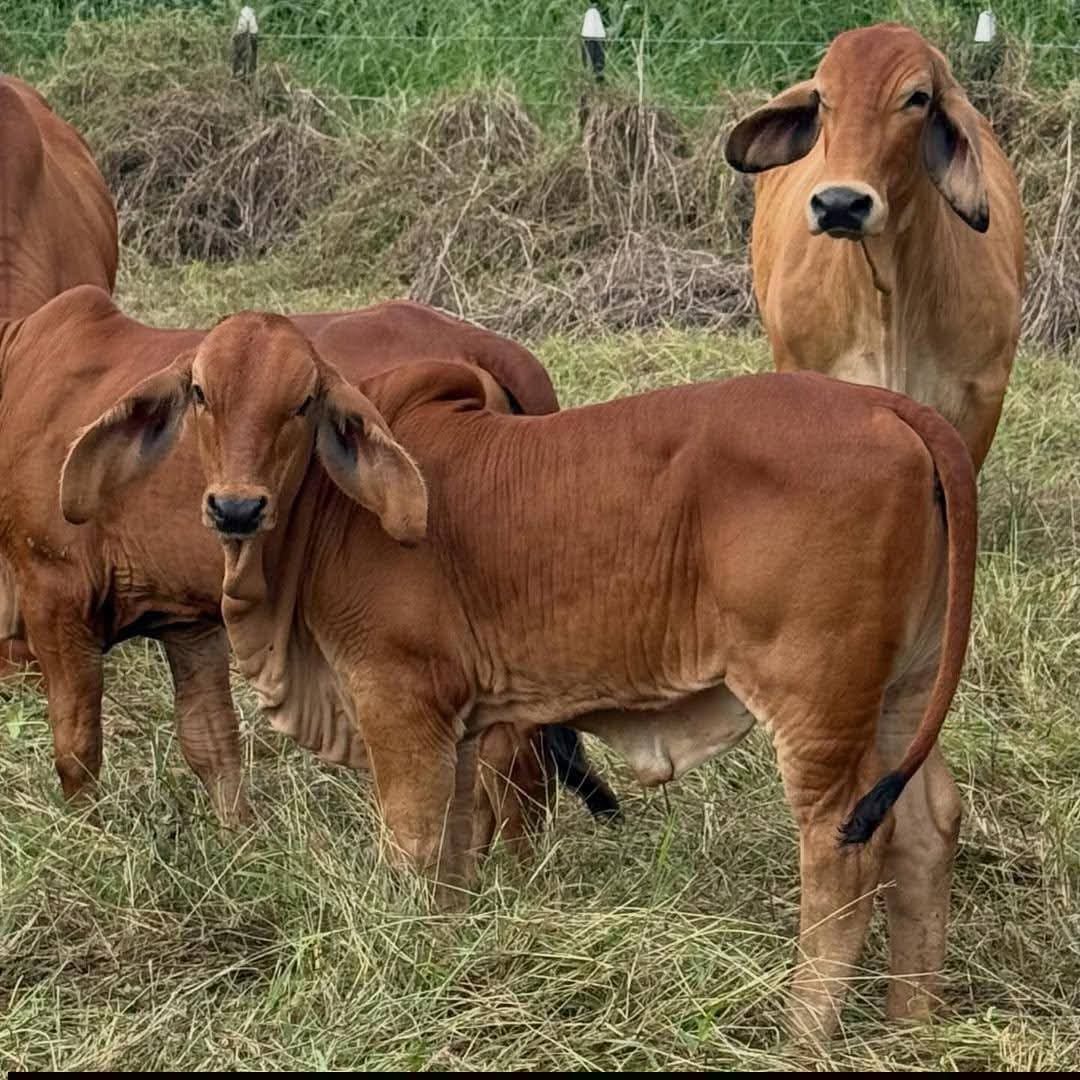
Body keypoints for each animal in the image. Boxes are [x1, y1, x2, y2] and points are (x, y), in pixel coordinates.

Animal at [0, 284, 617, 844]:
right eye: (199, 393)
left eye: (302, 404)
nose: (236, 508)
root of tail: (490, 347)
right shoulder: (187, 623)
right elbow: (211, 746)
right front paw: (241, 845)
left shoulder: (54, 596)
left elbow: (76, 752)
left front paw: (86, 840)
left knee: (516, 770)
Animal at [72, 312, 978, 1040]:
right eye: (200, 394)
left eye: (302, 402)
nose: (236, 508)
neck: (331, 515)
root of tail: (893, 406)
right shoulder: (460, 724)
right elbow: (454, 854)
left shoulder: (397, 698)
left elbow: (413, 847)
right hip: (898, 695)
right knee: (929, 825)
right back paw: (912, 1025)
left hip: (818, 705)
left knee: (843, 851)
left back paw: (803, 1034)